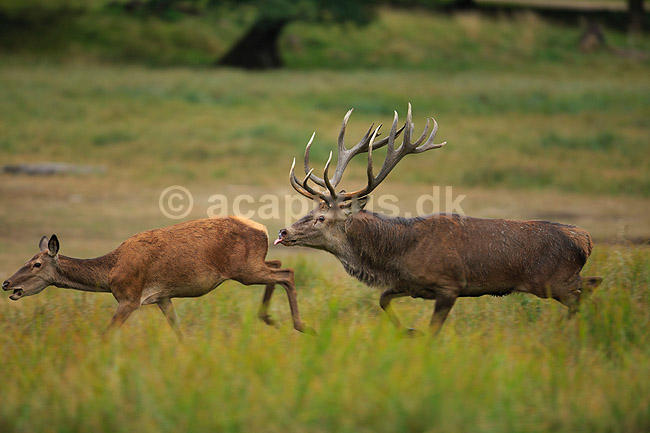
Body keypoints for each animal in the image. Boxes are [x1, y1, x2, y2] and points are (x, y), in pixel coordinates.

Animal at [3, 216, 312, 338]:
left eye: (36, 264)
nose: (6, 283)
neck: (110, 273)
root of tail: (263, 229)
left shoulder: (130, 297)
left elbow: (106, 333)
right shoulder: (163, 297)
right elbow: (177, 331)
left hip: (243, 269)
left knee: (286, 273)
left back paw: (298, 324)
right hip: (250, 264)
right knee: (278, 265)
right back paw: (269, 318)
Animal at [275, 104, 603, 335]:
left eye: (320, 218)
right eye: (309, 212)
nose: (283, 231)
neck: (396, 254)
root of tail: (584, 238)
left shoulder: (449, 285)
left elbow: (433, 330)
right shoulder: (410, 285)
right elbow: (382, 300)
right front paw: (408, 331)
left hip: (552, 279)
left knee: (588, 286)